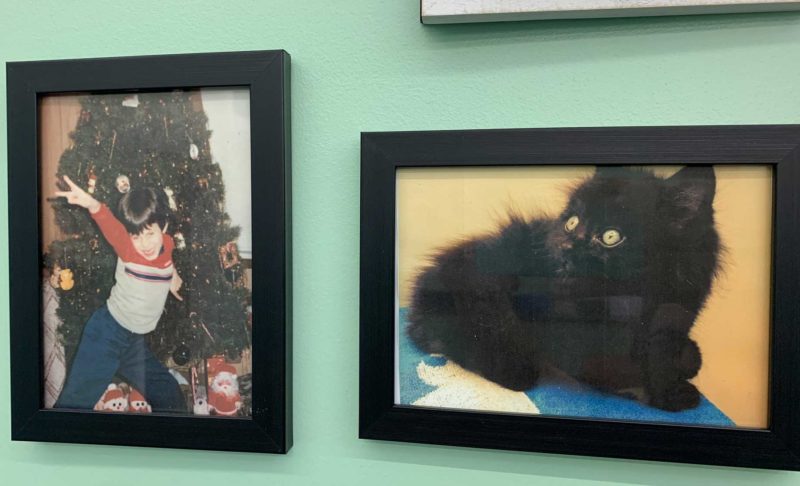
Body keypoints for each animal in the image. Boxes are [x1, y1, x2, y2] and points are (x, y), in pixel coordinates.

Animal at [410, 166, 720, 410]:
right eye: (573, 222)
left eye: (610, 236)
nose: (566, 246)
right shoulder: (572, 336)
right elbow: (618, 367)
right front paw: (669, 395)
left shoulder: (673, 322)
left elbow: (669, 357)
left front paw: (674, 377)